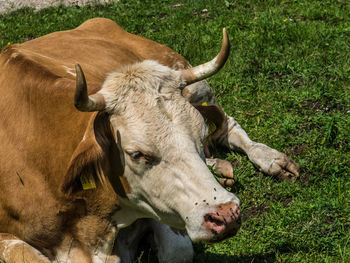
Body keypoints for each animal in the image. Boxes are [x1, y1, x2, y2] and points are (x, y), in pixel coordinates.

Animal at [0, 18, 298, 263]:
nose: (227, 214)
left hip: (193, 81)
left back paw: (271, 159)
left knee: (228, 125)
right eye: (137, 154)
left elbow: (177, 251)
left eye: (200, 136)